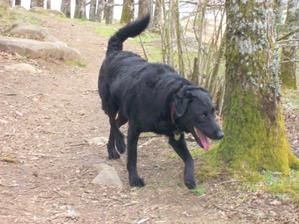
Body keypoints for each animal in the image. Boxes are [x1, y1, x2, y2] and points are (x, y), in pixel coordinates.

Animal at [99, 14, 224, 189]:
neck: (168, 99)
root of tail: (115, 52)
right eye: (203, 115)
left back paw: (112, 150)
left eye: (214, 112)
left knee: (115, 123)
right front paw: (134, 179)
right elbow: (132, 157)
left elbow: (190, 159)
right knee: (112, 121)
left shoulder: (175, 138)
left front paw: (189, 179)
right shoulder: (134, 129)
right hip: (110, 104)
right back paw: (119, 144)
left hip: (124, 113)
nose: (221, 134)